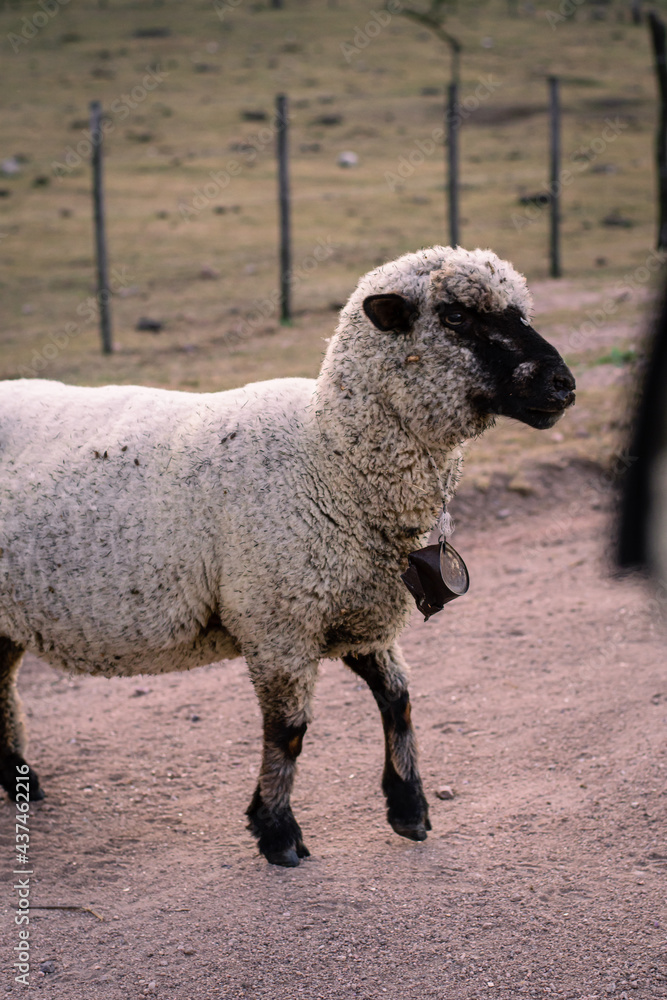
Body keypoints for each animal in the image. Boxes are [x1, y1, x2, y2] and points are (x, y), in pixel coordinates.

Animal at [0, 245, 575, 866]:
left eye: (520, 312)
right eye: (456, 317)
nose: (564, 385)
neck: (326, 457)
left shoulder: (357, 611)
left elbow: (398, 700)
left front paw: (409, 808)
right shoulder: (279, 622)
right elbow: (290, 731)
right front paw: (277, 832)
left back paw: (20, 780)